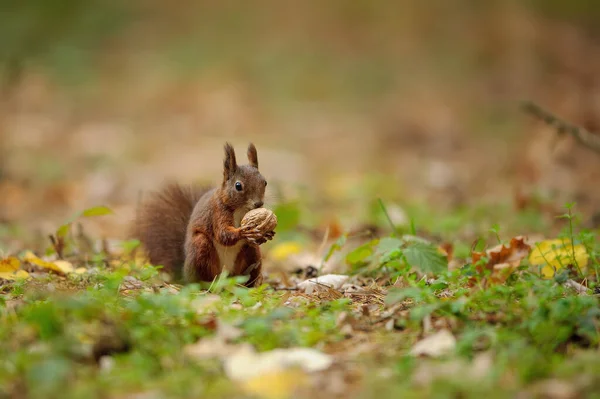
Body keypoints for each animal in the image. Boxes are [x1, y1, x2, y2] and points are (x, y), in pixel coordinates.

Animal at [133, 144, 274, 288]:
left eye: (265, 182)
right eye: (238, 186)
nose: (258, 203)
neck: (241, 209)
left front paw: (267, 234)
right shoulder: (217, 212)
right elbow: (223, 234)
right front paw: (244, 231)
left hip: (252, 255)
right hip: (201, 247)